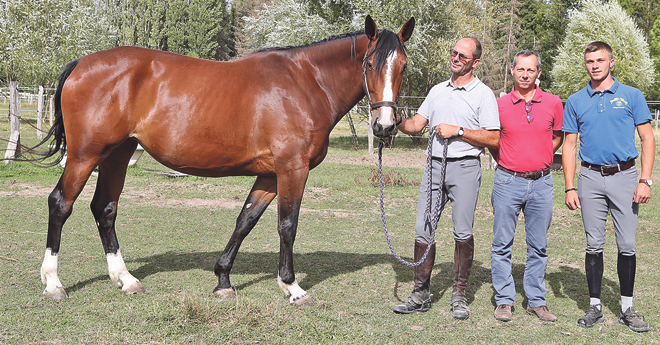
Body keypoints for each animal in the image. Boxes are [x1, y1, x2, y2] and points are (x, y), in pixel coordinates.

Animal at [36, 15, 412, 304]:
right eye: (369, 64)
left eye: (403, 66)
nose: (384, 126)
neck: (306, 83)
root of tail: (81, 64)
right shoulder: (292, 169)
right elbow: (287, 225)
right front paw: (291, 286)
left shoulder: (270, 175)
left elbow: (245, 220)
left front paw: (223, 280)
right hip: (85, 155)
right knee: (60, 203)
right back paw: (54, 283)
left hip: (117, 155)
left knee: (104, 208)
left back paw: (125, 279)